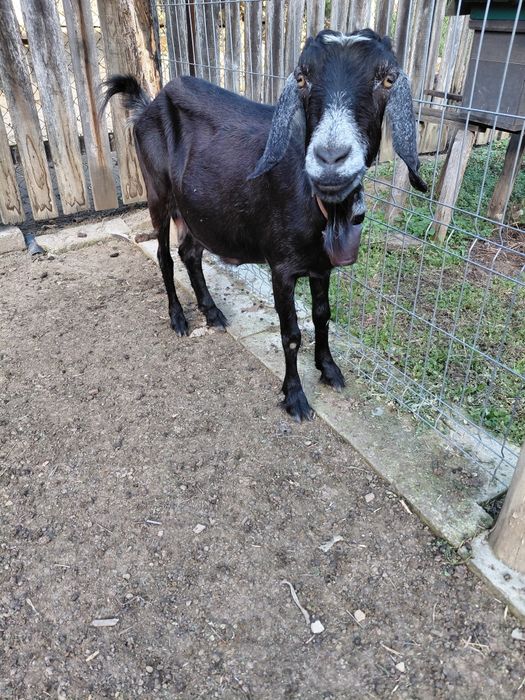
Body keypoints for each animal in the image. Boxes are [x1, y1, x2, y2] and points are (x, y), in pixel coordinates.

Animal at [100, 28, 427, 422]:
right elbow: (291, 333)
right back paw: (178, 319)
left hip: (196, 209)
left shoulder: (321, 266)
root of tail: (149, 105)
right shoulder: (281, 266)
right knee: (164, 255)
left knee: (189, 252)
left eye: (387, 79)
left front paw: (329, 369)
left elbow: (322, 316)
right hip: (158, 193)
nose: (331, 158)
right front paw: (295, 397)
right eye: (301, 78)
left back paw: (212, 312)